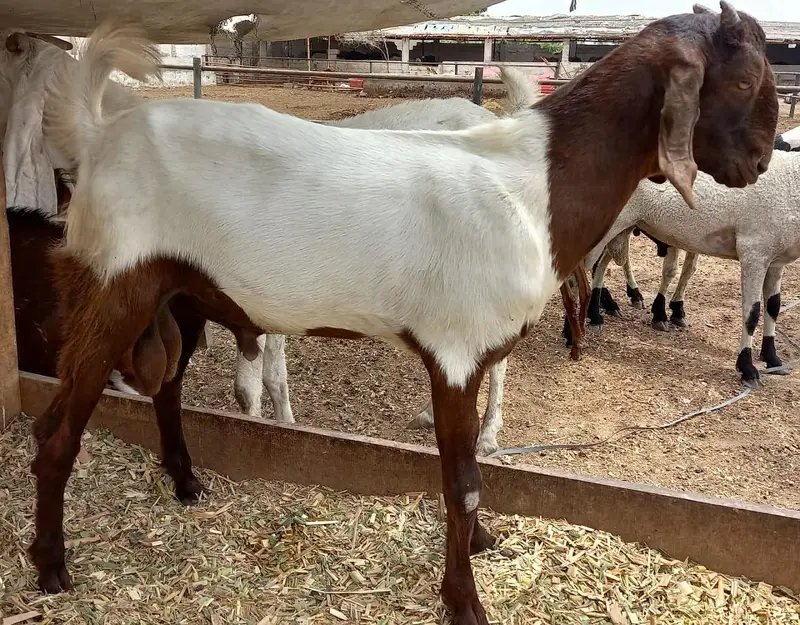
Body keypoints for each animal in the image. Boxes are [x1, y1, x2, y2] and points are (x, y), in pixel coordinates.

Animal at [32, 7, 777, 623]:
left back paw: (186, 483)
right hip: (114, 287)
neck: (532, 185)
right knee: (59, 427)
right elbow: (462, 480)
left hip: (180, 293)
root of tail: (99, 136)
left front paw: (480, 544)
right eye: (742, 81)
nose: (762, 161)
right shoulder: (454, 352)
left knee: (168, 387)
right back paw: (51, 567)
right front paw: (465, 599)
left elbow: (470, 467)